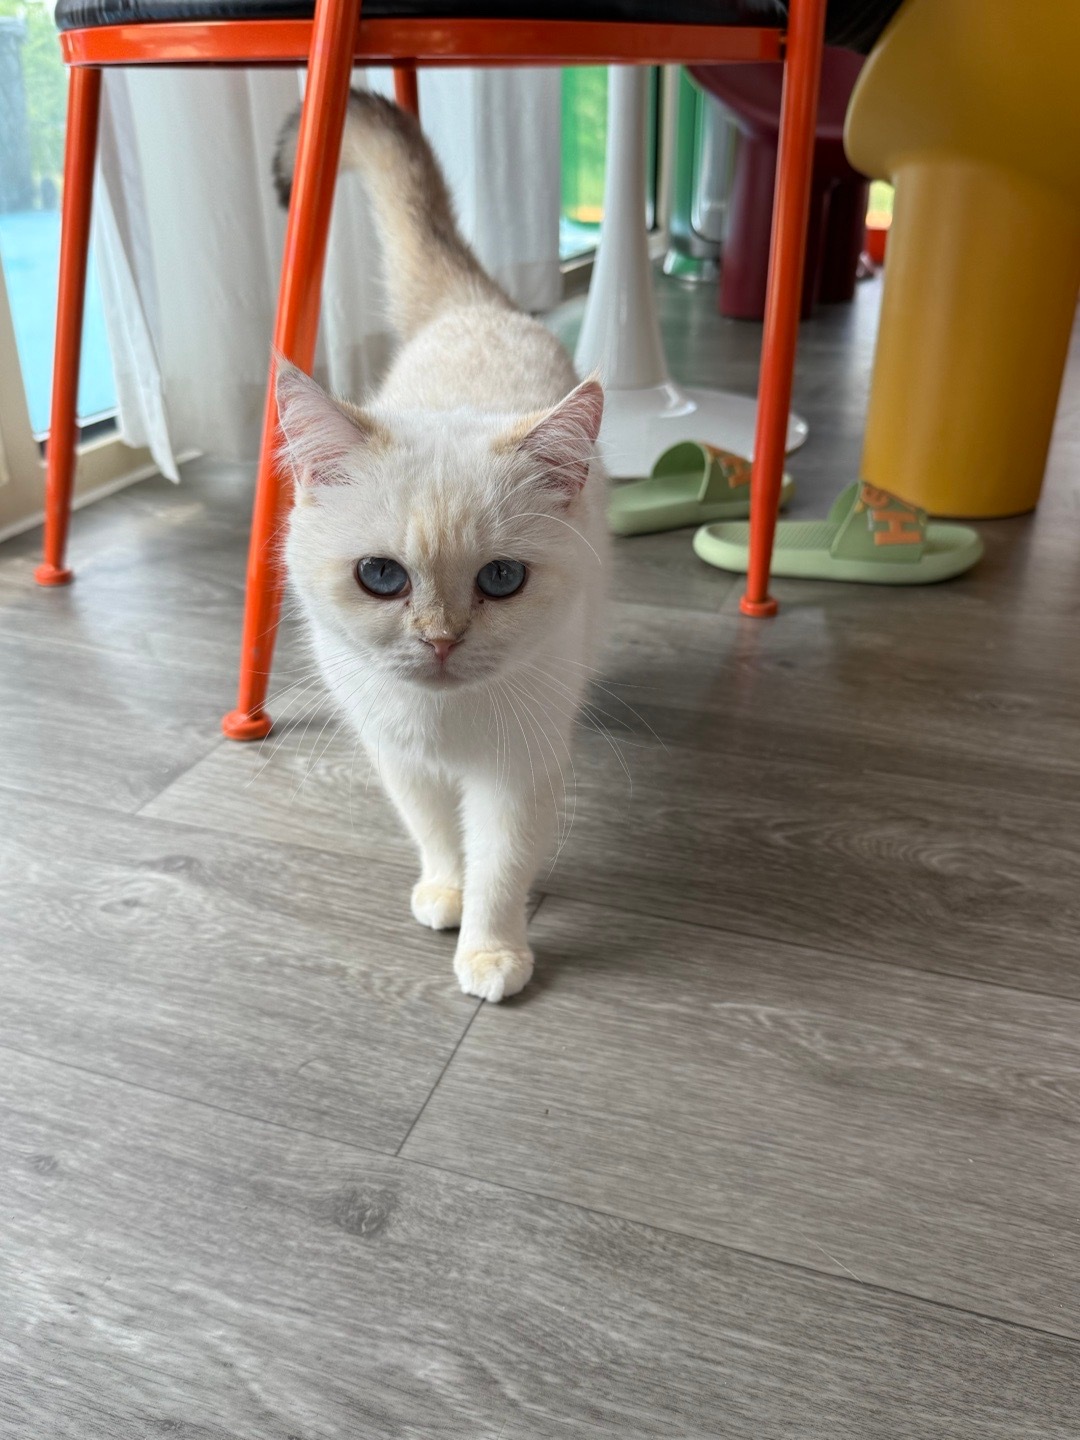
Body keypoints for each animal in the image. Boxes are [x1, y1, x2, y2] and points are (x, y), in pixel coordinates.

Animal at [272, 90, 607, 1002]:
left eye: (502, 578)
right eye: (380, 576)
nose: (441, 640)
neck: (447, 722)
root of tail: (473, 309)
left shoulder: (519, 770)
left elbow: (501, 864)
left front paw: (493, 953)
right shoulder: (400, 758)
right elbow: (436, 836)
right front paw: (444, 895)